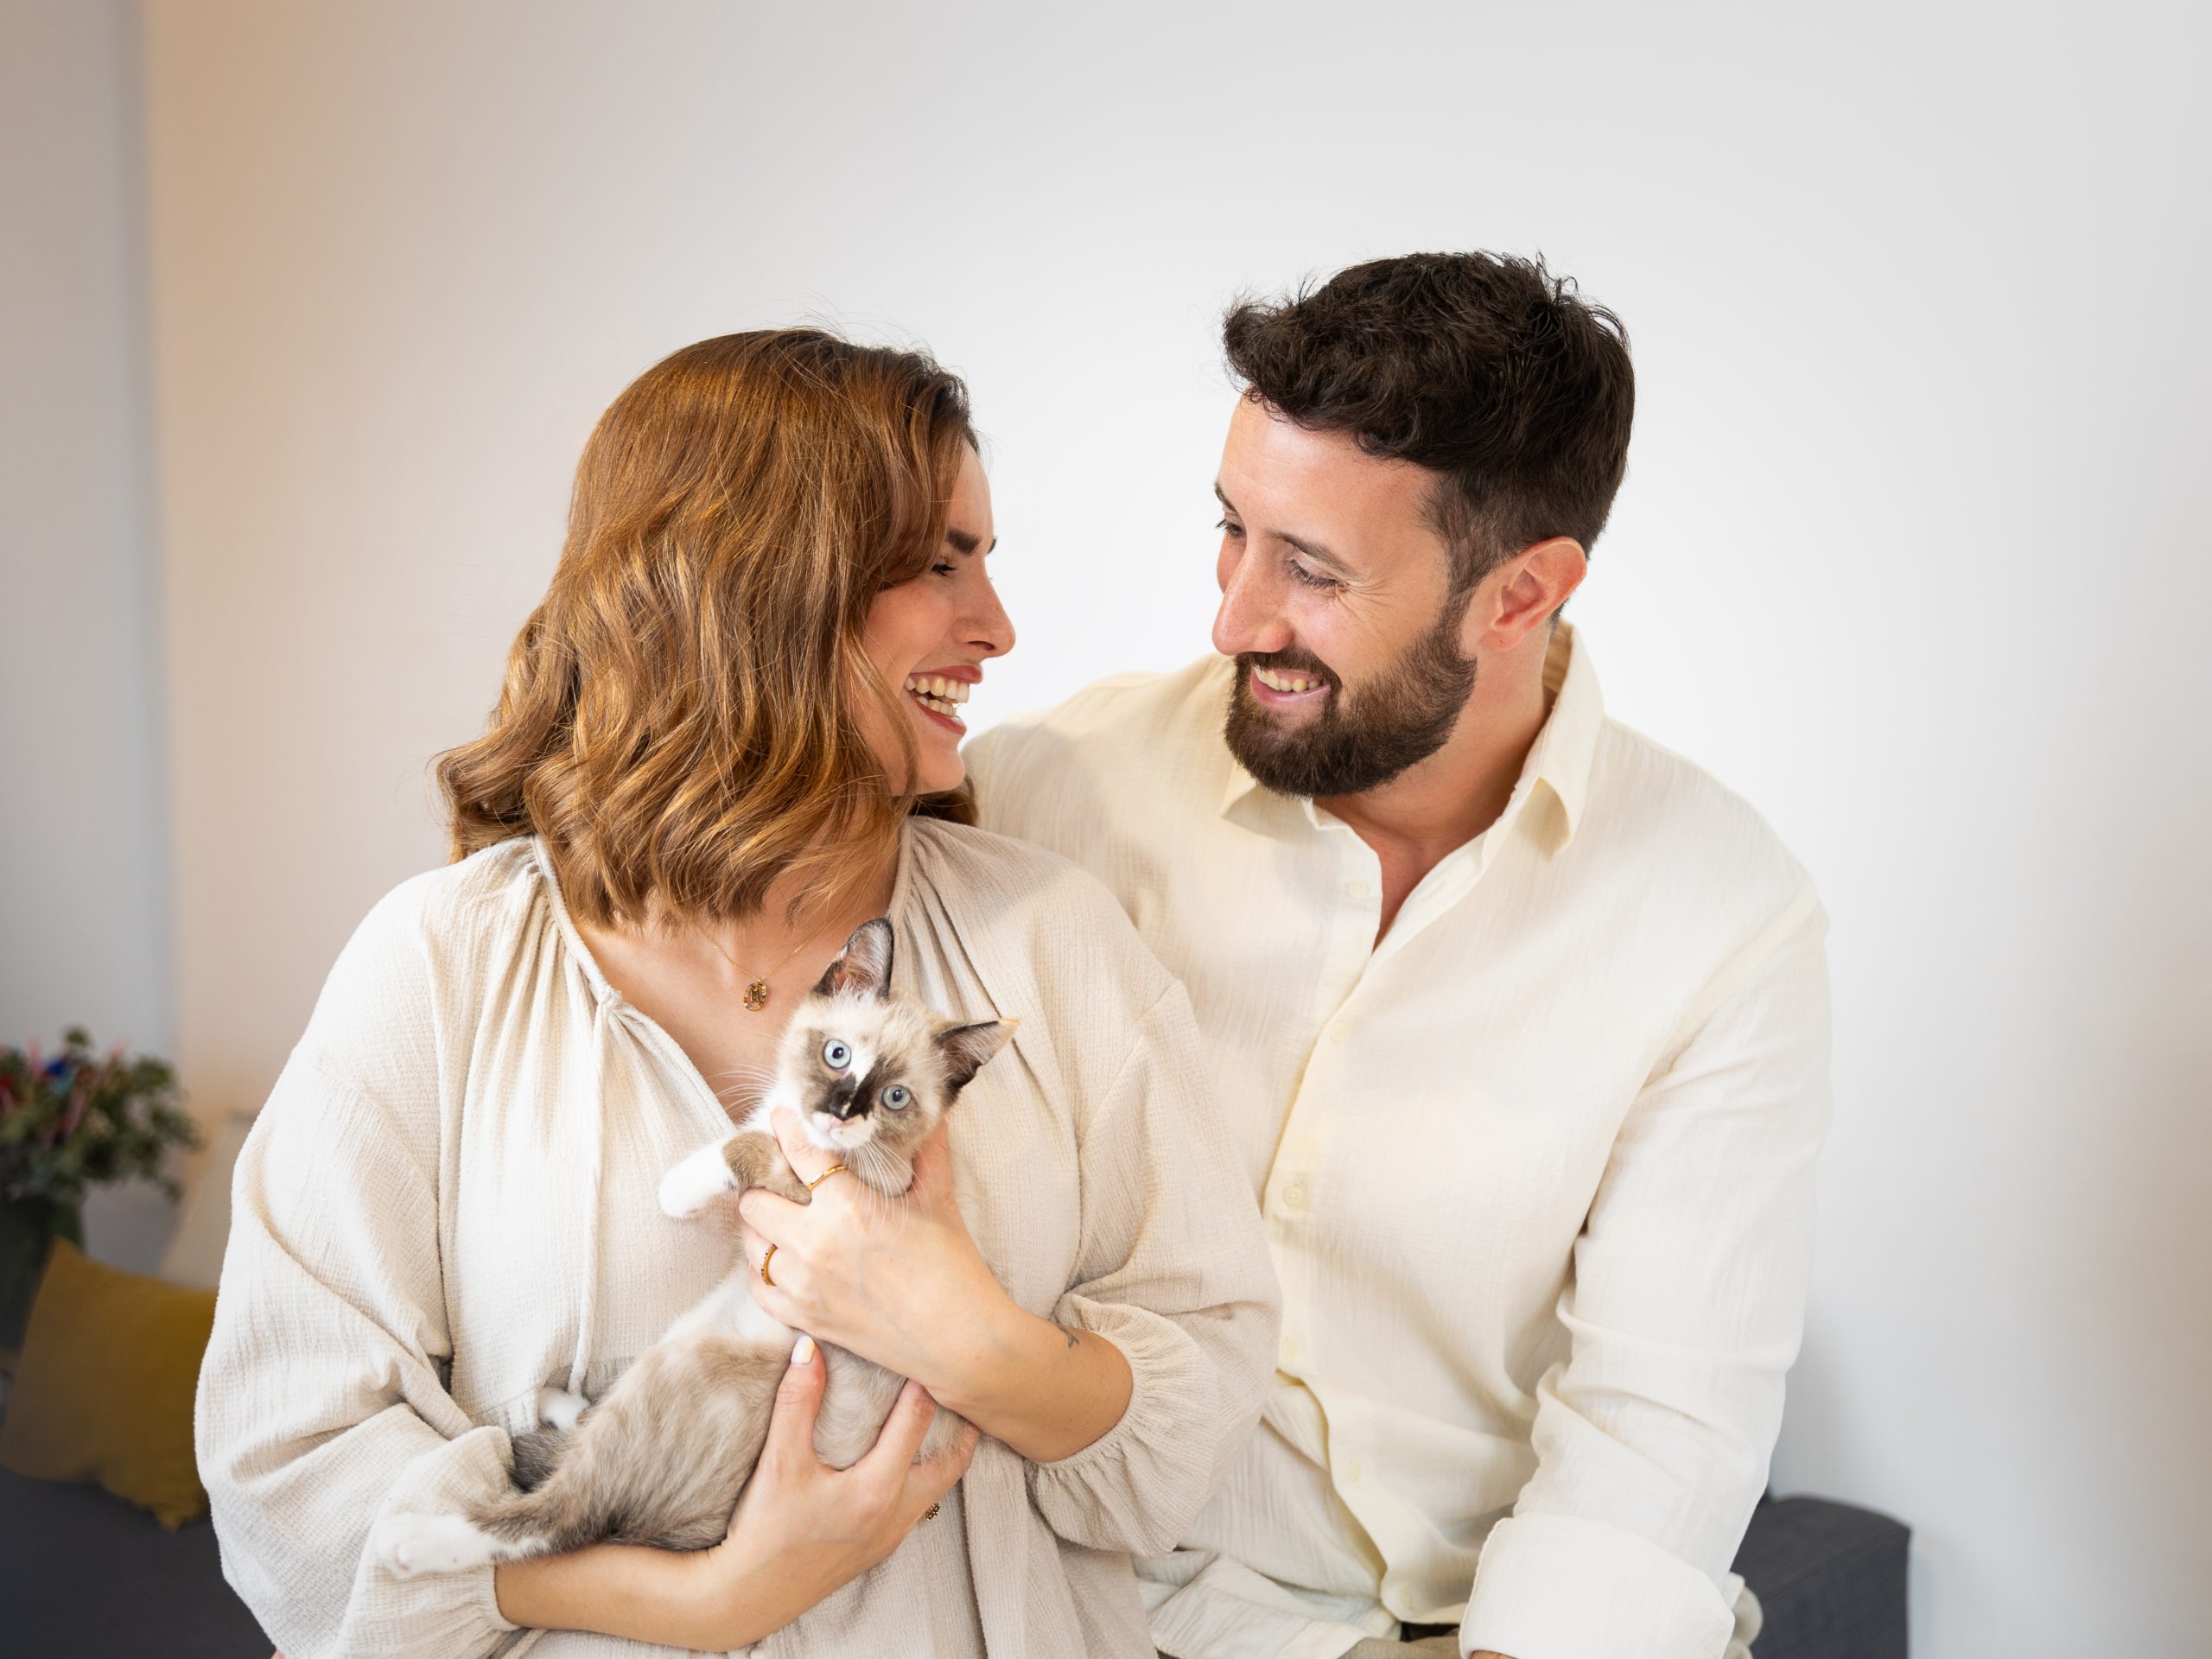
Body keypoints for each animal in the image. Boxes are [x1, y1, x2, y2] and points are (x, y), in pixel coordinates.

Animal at [371, 917, 1014, 1577]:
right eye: (837, 1055)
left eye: (894, 1099)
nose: (838, 1114)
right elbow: (754, 1134)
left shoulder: (852, 1188)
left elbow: (747, 1146)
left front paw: (676, 1191)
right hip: (681, 1338)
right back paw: (553, 1402)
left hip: (684, 1364)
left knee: (571, 1517)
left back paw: (409, 1541)